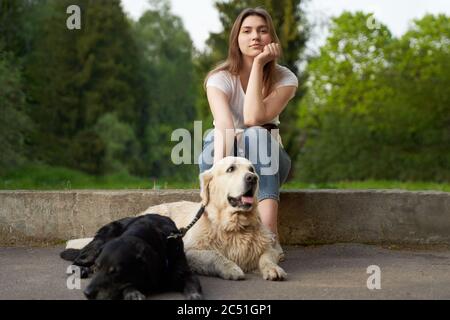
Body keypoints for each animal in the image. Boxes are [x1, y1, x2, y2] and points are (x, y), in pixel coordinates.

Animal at [59, 214, 202, 298]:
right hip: (98, 244)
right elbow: (128, 284)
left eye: (115, 272)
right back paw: (80, 268)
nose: (87, 294)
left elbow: (193, 285)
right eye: (98, 267)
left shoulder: (185, 273)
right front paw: (132, 292)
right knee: (78, 259)